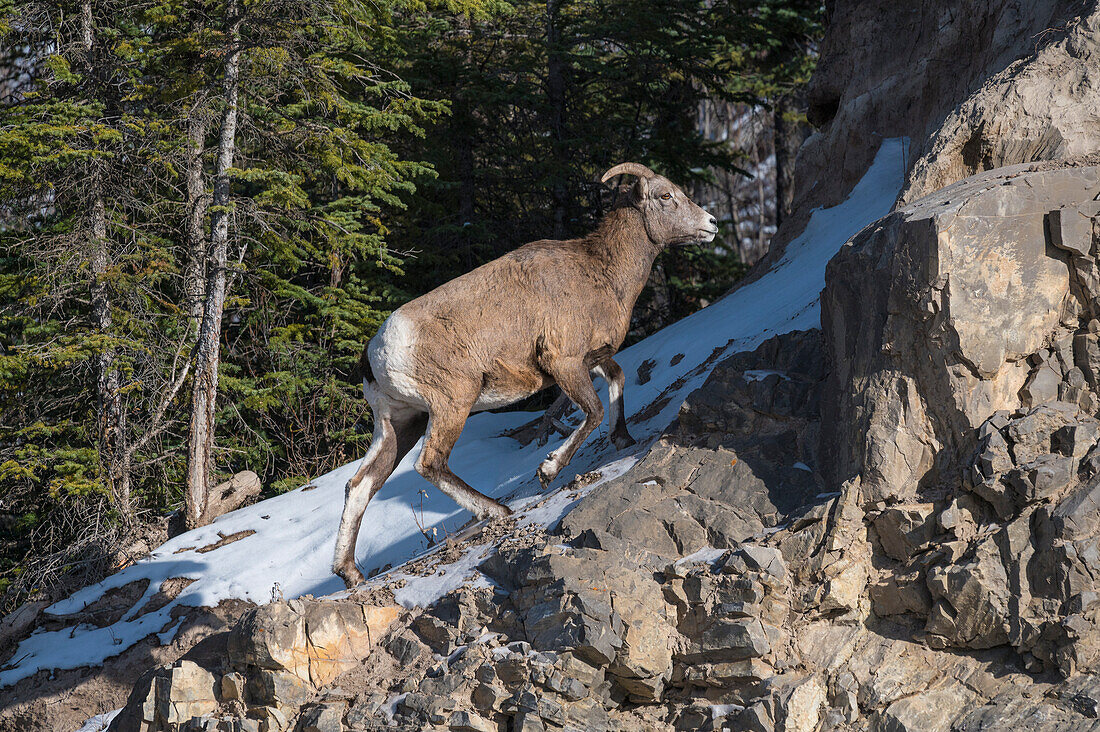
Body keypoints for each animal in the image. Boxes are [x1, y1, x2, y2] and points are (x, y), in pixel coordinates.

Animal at [330, 162, 717, 585]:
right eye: (666, 195)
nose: (712, 224)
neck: (601, 272)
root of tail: (376, 354)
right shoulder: (563, 362)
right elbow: (594, 412)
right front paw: (549, 469)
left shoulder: (590, 360)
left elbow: (618, 380)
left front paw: (623, 439)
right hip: (452, 405)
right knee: (429, 463)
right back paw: (498, 511)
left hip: (400, 423)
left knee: (359, 485)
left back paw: (351, 573)